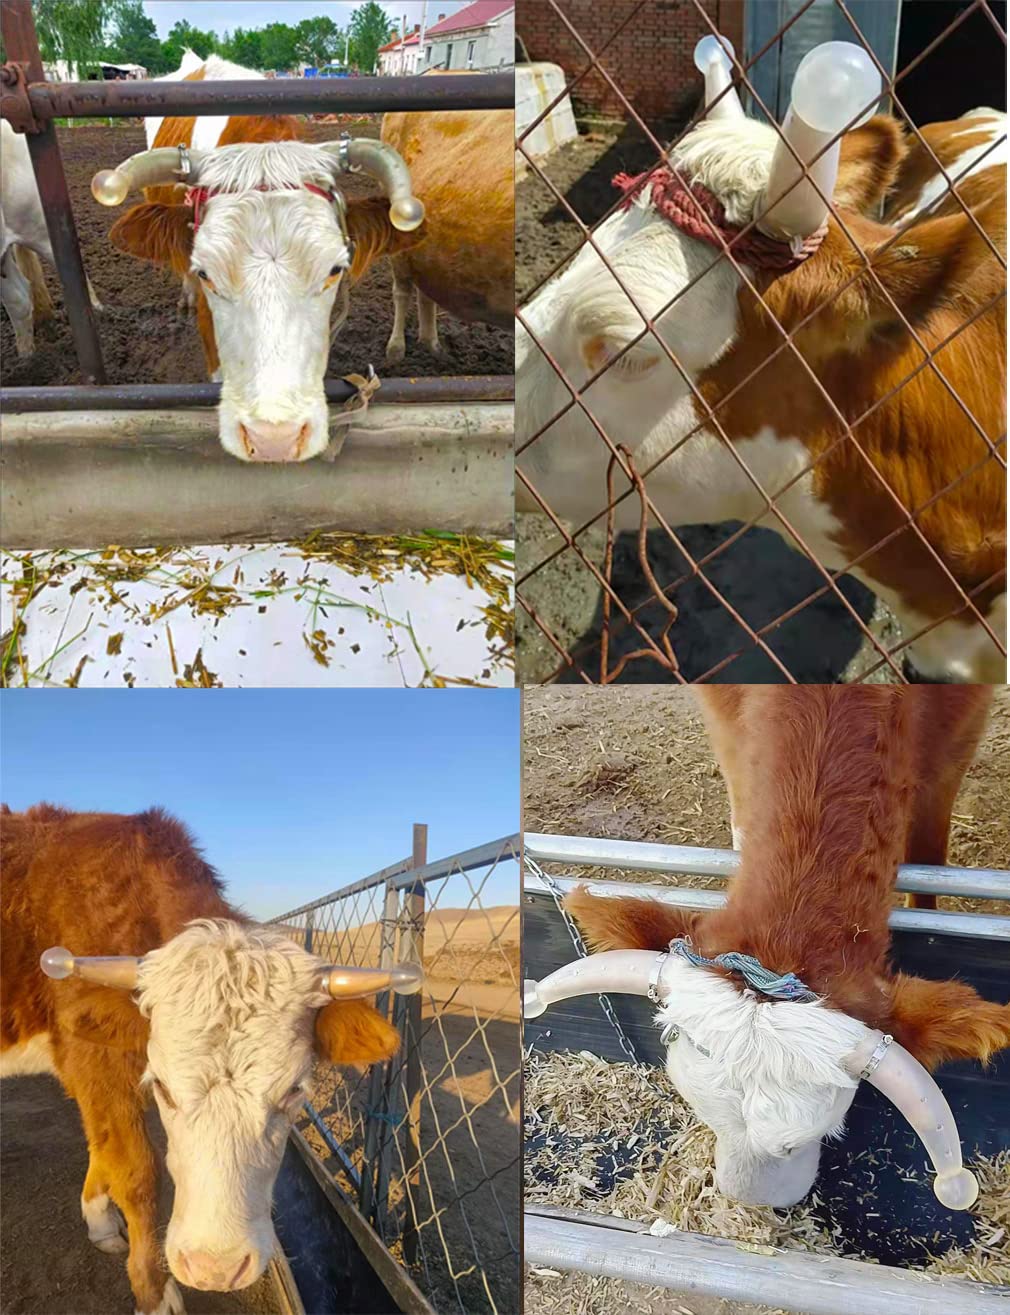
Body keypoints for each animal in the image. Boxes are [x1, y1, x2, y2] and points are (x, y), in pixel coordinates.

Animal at [1, 805, 413, 1315]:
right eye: (162, 1088)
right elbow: (136, 1171)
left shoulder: (93, 1066)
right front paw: (154, 1292)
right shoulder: (96, 1061)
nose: (216, 1268)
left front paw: (100, 1221)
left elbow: (103, 1145)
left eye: (294, 1091)